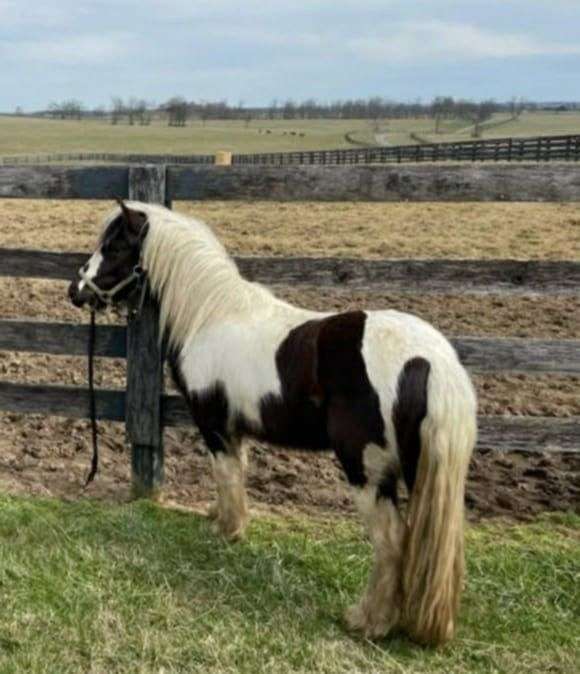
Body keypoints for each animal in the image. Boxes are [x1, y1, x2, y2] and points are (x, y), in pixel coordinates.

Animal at [69, 201, 476, 644]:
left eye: (114, 246)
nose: (75, 291)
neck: (211, 314)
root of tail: (430, 361)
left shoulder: (214, 425)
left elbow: (225, 473)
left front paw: (227, 531)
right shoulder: (235, 429)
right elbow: (235, 474)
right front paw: (221, 518)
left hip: (366, 472)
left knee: (392, 540)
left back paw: (368, 620)